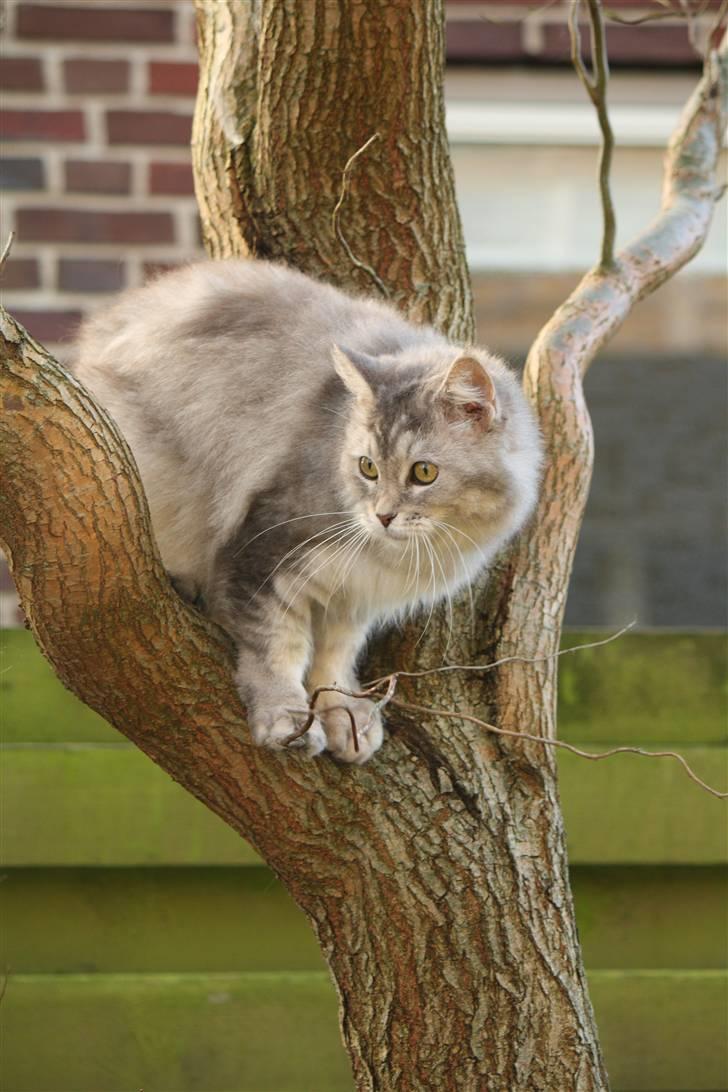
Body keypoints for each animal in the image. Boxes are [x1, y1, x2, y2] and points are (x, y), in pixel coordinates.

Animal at [72, 258, 541, 764]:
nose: (383, 516)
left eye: (423, 473)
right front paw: (287, 719)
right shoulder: (266, 551)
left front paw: (345, 717)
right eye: (368, 467)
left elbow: (333, 663)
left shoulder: (351, 598)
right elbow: (278, 650)